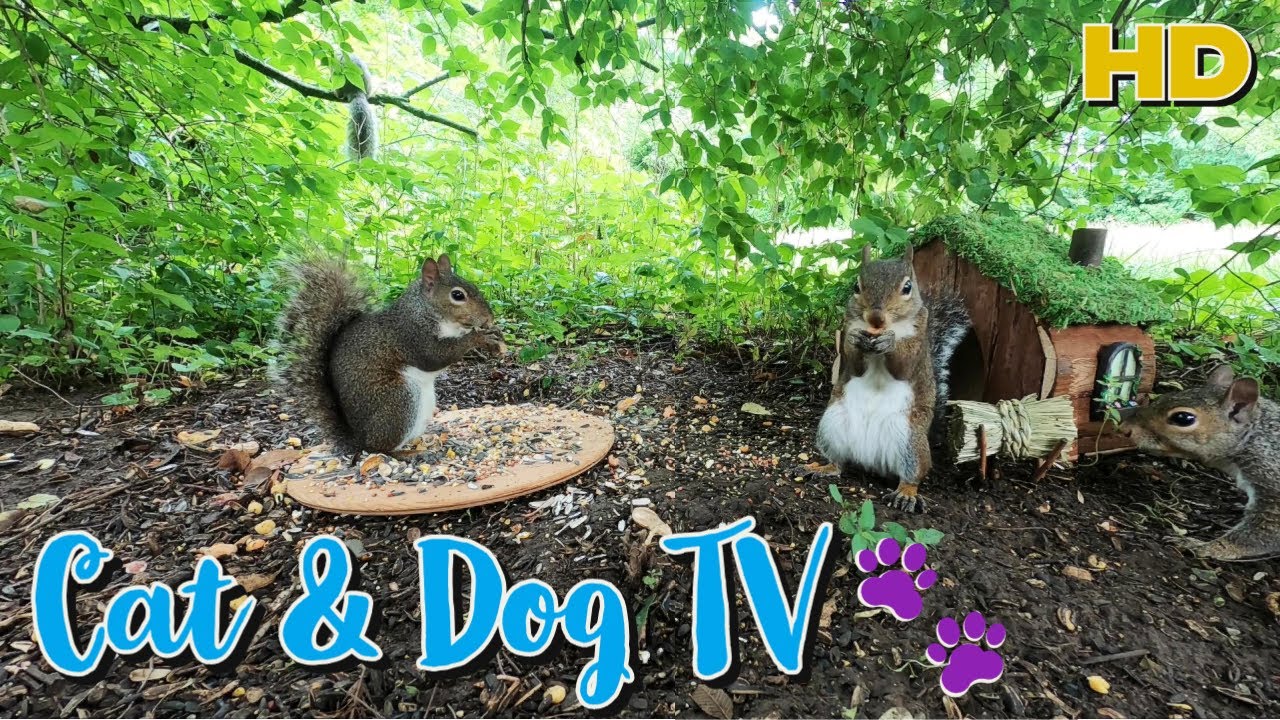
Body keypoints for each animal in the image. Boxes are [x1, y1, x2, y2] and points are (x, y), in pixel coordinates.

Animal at [276, 254, 506, 455]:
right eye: (457, 295)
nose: (489, 318)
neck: (426, 311)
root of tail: (359, 439)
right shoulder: (411, 336)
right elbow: (434, 356)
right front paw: (478, 337)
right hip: (399, 398)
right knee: (378, 448)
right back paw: (405, 454)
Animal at [816, 243, 971, 513]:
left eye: (907, 287)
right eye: (856, 286)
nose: (875, 318)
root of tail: (869, 460)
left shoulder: (918, 341)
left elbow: (903, 365)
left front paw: (889, 343)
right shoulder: (848, 328)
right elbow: (854, 362)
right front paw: (857, 339)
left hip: (910, 440)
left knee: (913, 474)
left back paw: (906, 493)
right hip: (831, 425)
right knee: (838, 461)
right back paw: (823, 468)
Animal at [1124, 365, 1280, 561]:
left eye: (1183, 418)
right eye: (1164, 397)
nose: (1125, 428)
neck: (1254, 438)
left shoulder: (1272, 486)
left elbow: (1259, 534)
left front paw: (1203, 546)